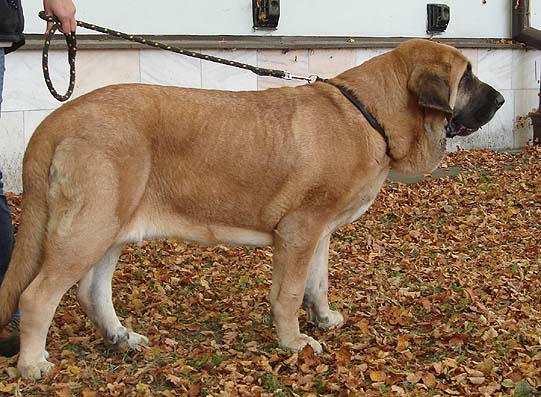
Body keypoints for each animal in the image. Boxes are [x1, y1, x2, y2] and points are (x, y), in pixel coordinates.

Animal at [0, 39, 502, 378]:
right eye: (467, 76)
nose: (498, 99)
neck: (371, 114)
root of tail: (55, 120)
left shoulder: (320, 233)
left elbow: (317, 284)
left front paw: (323, 320)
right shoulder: (299, 231)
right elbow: (289, 293)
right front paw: (294, 341)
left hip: (111, 227)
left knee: (91, 291)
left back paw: (121, 338)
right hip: (89, 226)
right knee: (38, 296)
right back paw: (33, 364)